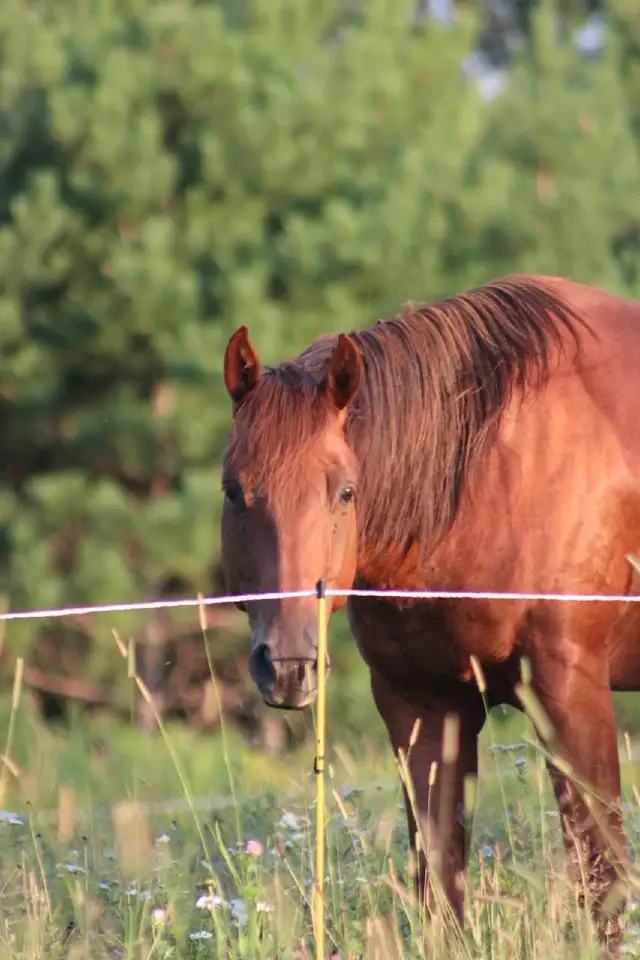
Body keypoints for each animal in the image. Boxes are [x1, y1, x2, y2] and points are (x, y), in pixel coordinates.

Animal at [219, 274, 640, 953]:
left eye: (345, 491)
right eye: (234, 491)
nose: (287, 666)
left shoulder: (570, 692)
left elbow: (602, 879)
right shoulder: (422, 703)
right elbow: (441, 886)